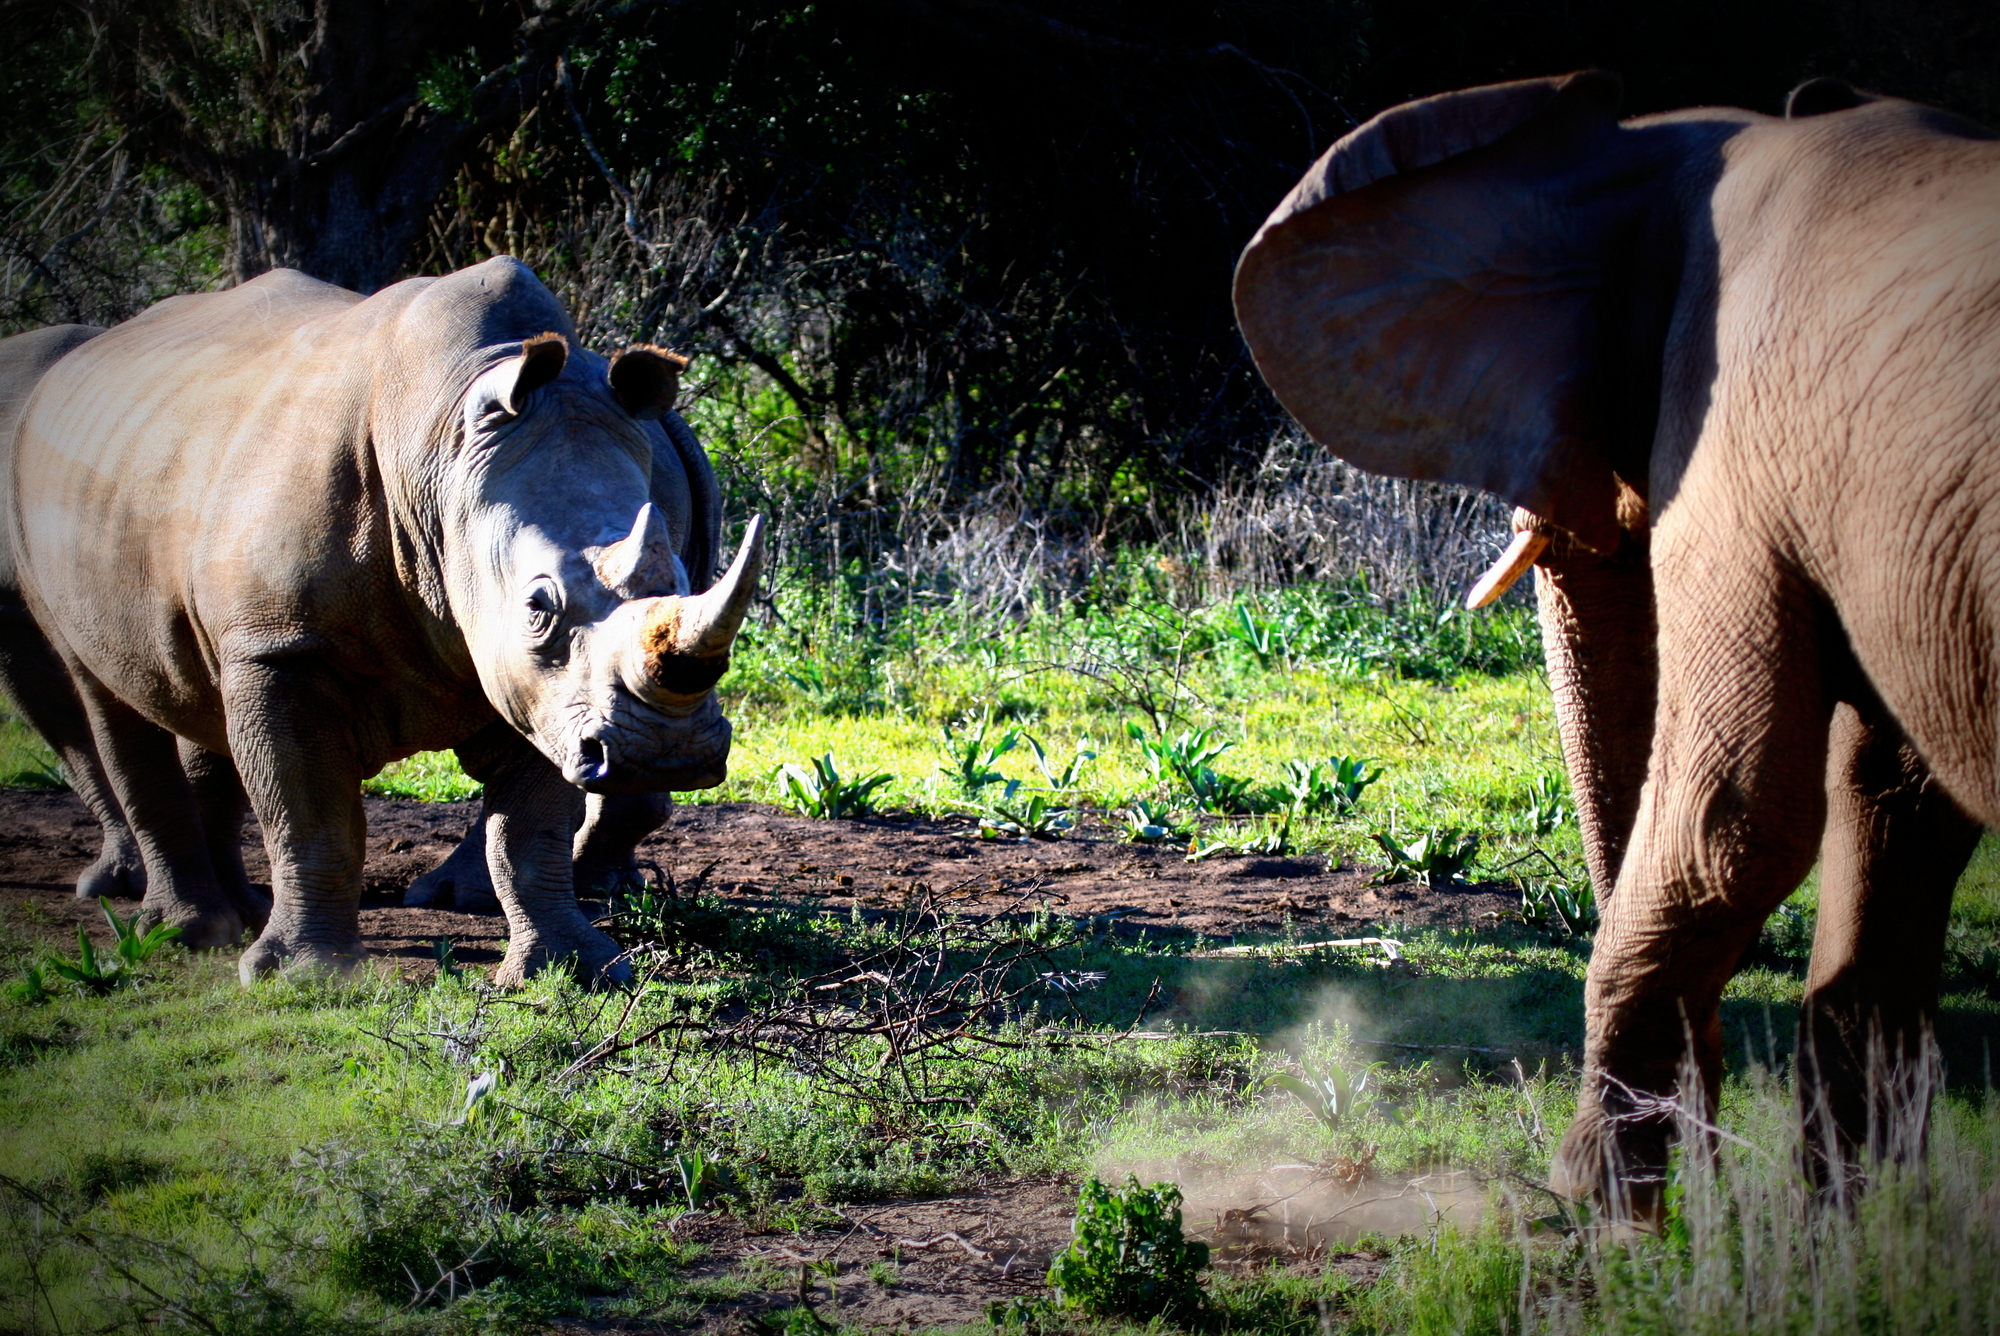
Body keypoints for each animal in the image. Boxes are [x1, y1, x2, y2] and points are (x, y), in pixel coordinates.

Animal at [9, 258, 756, 980]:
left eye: (679, 580)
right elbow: (311, 817)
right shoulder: (282, 648)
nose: (666, 752)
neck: (442, 457)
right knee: (103, 695)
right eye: (538, 607)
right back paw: (187, 934)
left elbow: (530, 829)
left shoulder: (548, 690)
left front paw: (572, 969)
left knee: (190, 693)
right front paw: (306, 979)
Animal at [1232, 73, 2000, 1216]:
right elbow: (1891, 807)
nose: (1709, 1143)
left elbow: (1735, 816)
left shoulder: (1735, 462)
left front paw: (1596, 1210)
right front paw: (1845, 1235)